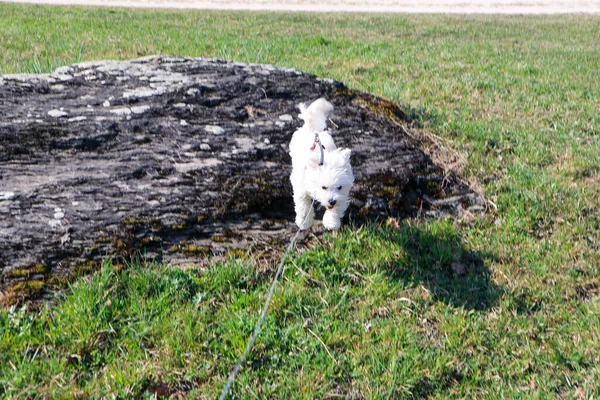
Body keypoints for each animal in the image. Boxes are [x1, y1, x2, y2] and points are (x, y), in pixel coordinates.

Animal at [288, 97, 354, 231]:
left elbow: (336, 208)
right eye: (323, 187)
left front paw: (331, 222)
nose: (332, 201)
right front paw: (304, 223)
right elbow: (304, 206)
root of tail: (312, 129)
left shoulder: (342, 194)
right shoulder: (301, 187)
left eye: (339, 187)